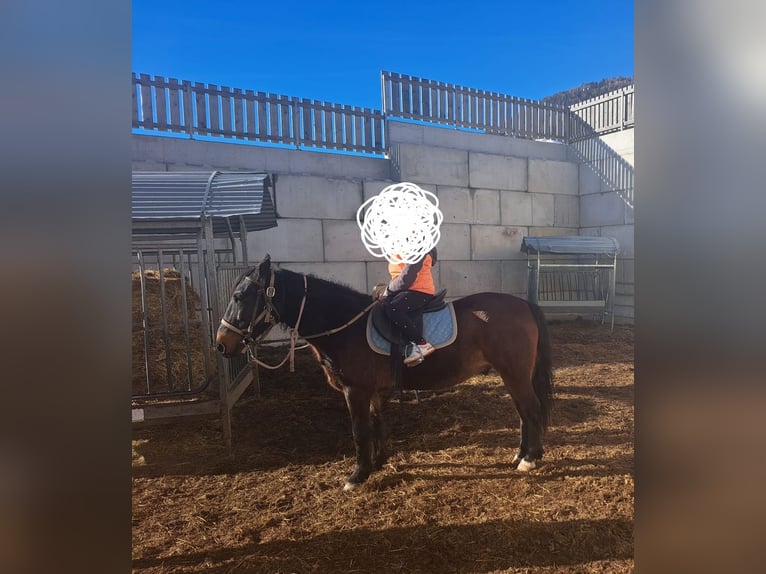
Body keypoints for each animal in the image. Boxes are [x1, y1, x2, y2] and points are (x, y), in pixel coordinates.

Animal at [214, 254, 552, 492]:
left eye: (241, 297)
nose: (221, 343)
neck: (344, 326)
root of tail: (524, 305)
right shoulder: (372, 392)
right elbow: (376, 426)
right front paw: (377, 464)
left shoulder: (355, 391)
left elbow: (359, 431)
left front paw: (357, 475)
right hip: (512, 375)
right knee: (523, 413)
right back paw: (520, 455)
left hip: (514, 373)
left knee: (531, 410)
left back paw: (530, 459)